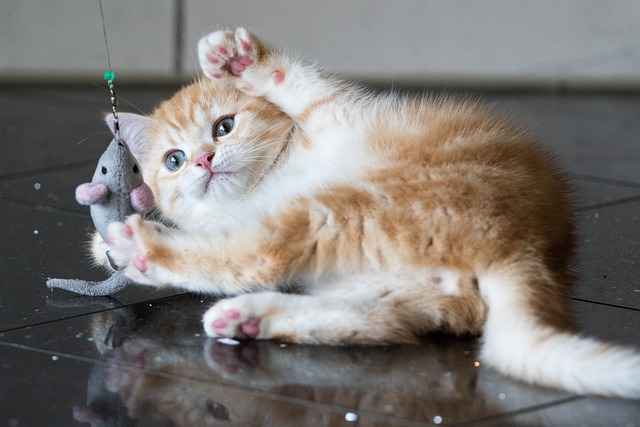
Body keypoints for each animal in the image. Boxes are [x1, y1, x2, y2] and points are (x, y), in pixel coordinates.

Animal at [91, 28, 640, 400]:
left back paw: (142, 247)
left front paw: (238, 59)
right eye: (174, 160)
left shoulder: (332, 110)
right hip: (399, 285)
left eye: (224, 126)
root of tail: (530, 246)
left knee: (259, 255)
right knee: (369, 320)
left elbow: (294, 81)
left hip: (348, 209)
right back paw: (247, 315)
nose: (204, 160)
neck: (268, 184)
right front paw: (109, 245)